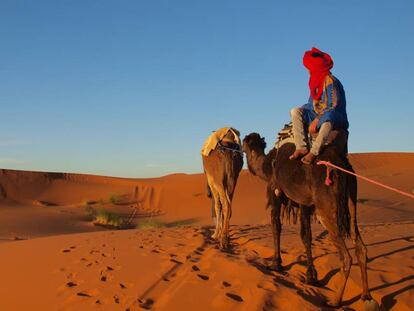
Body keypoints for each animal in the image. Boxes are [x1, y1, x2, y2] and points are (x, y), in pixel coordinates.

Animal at [243, 133, 378, 310]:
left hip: (325, 208)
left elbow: (277, 226)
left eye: (243, 144)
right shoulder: (305, 203)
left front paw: (276, 264)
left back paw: (335, 301)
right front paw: (311, 276)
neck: (266, 165)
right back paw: (366, 296)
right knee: (360, 247)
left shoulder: (276, 193)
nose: (238, 148)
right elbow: (306, 236)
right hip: (351, 199)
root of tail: (340, 164)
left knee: (346, 256)